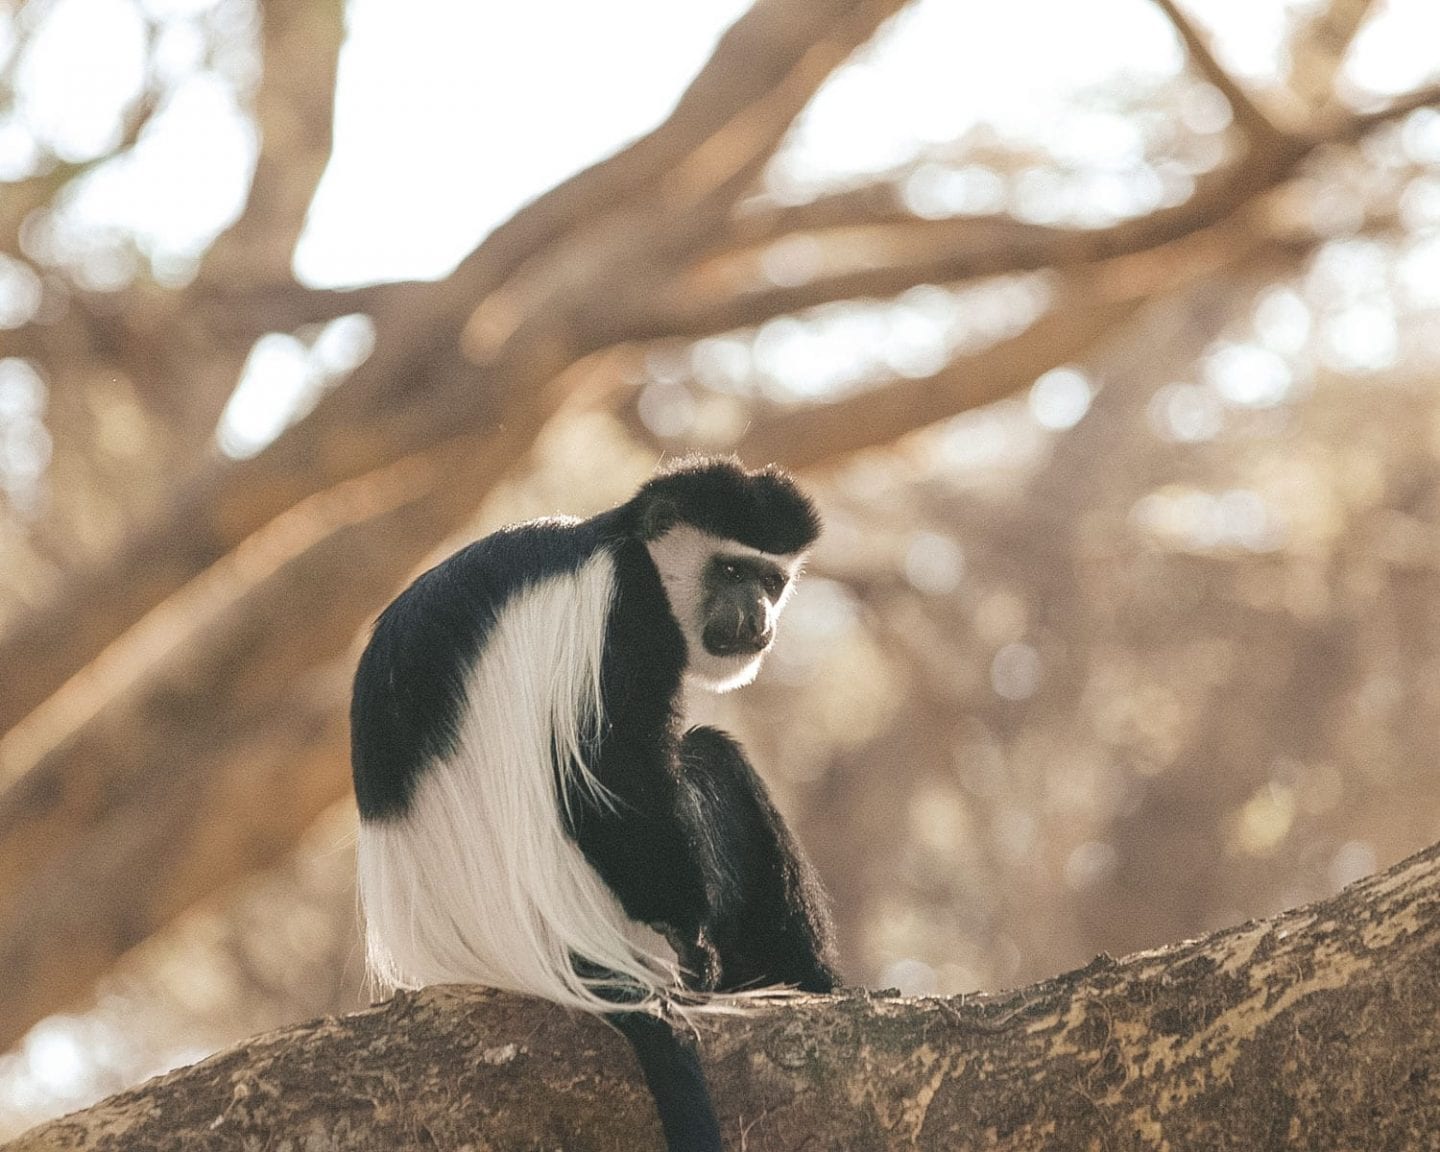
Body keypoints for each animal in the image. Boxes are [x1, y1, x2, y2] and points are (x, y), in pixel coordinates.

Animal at [352, 455, 840, 1146]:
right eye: (731, 571)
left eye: (771, 581)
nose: (757, 619)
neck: (622, 541)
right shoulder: (626, 612)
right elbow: (611, 777)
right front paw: (692, 934)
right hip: (598, 913)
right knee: (708, 760)